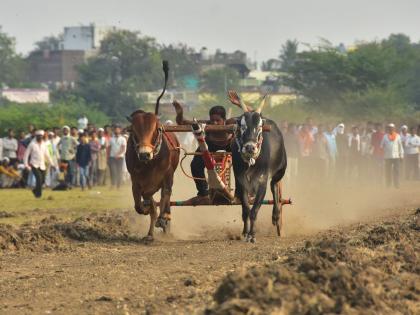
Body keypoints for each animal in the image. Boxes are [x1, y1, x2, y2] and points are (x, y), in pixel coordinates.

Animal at [124, 111, 178, 242]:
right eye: (133, 130)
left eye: (157, 129)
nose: (145, 154)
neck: (150, 163)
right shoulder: (136, 182)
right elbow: (139, 206)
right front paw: (147, 209)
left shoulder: (168, 175)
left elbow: (165, 194)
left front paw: (163, 218)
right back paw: (150, 234)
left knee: (166, 197)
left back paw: (165, 218)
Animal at [231, 112, 288, 243]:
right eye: (242, 126)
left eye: (259, 127)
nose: (250, 148)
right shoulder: (241, 183)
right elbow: (246, 210)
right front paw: (246, 233)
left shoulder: (262, 183)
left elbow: (254, 211)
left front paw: (252, 235)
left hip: (280, 171)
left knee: (274, 187)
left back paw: (276, 216)